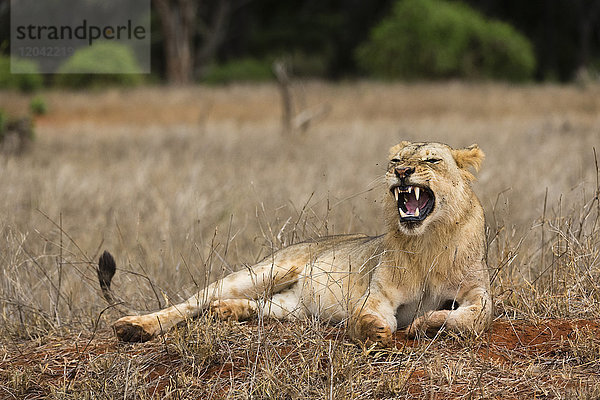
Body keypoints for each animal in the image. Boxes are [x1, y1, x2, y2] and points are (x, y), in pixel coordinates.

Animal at [99, 141, 492, 344]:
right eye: (396, 159)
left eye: (431, 160)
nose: (400, 172)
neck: (428, 242)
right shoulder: (378, 294)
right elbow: (368, 314)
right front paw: (376, 329)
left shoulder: (478, 291)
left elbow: (472, 318)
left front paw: (430, 323)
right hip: (266, 270)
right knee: (190, 303)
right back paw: (135, 327)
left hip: (294, 307)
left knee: (262, 306)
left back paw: (228, 311)